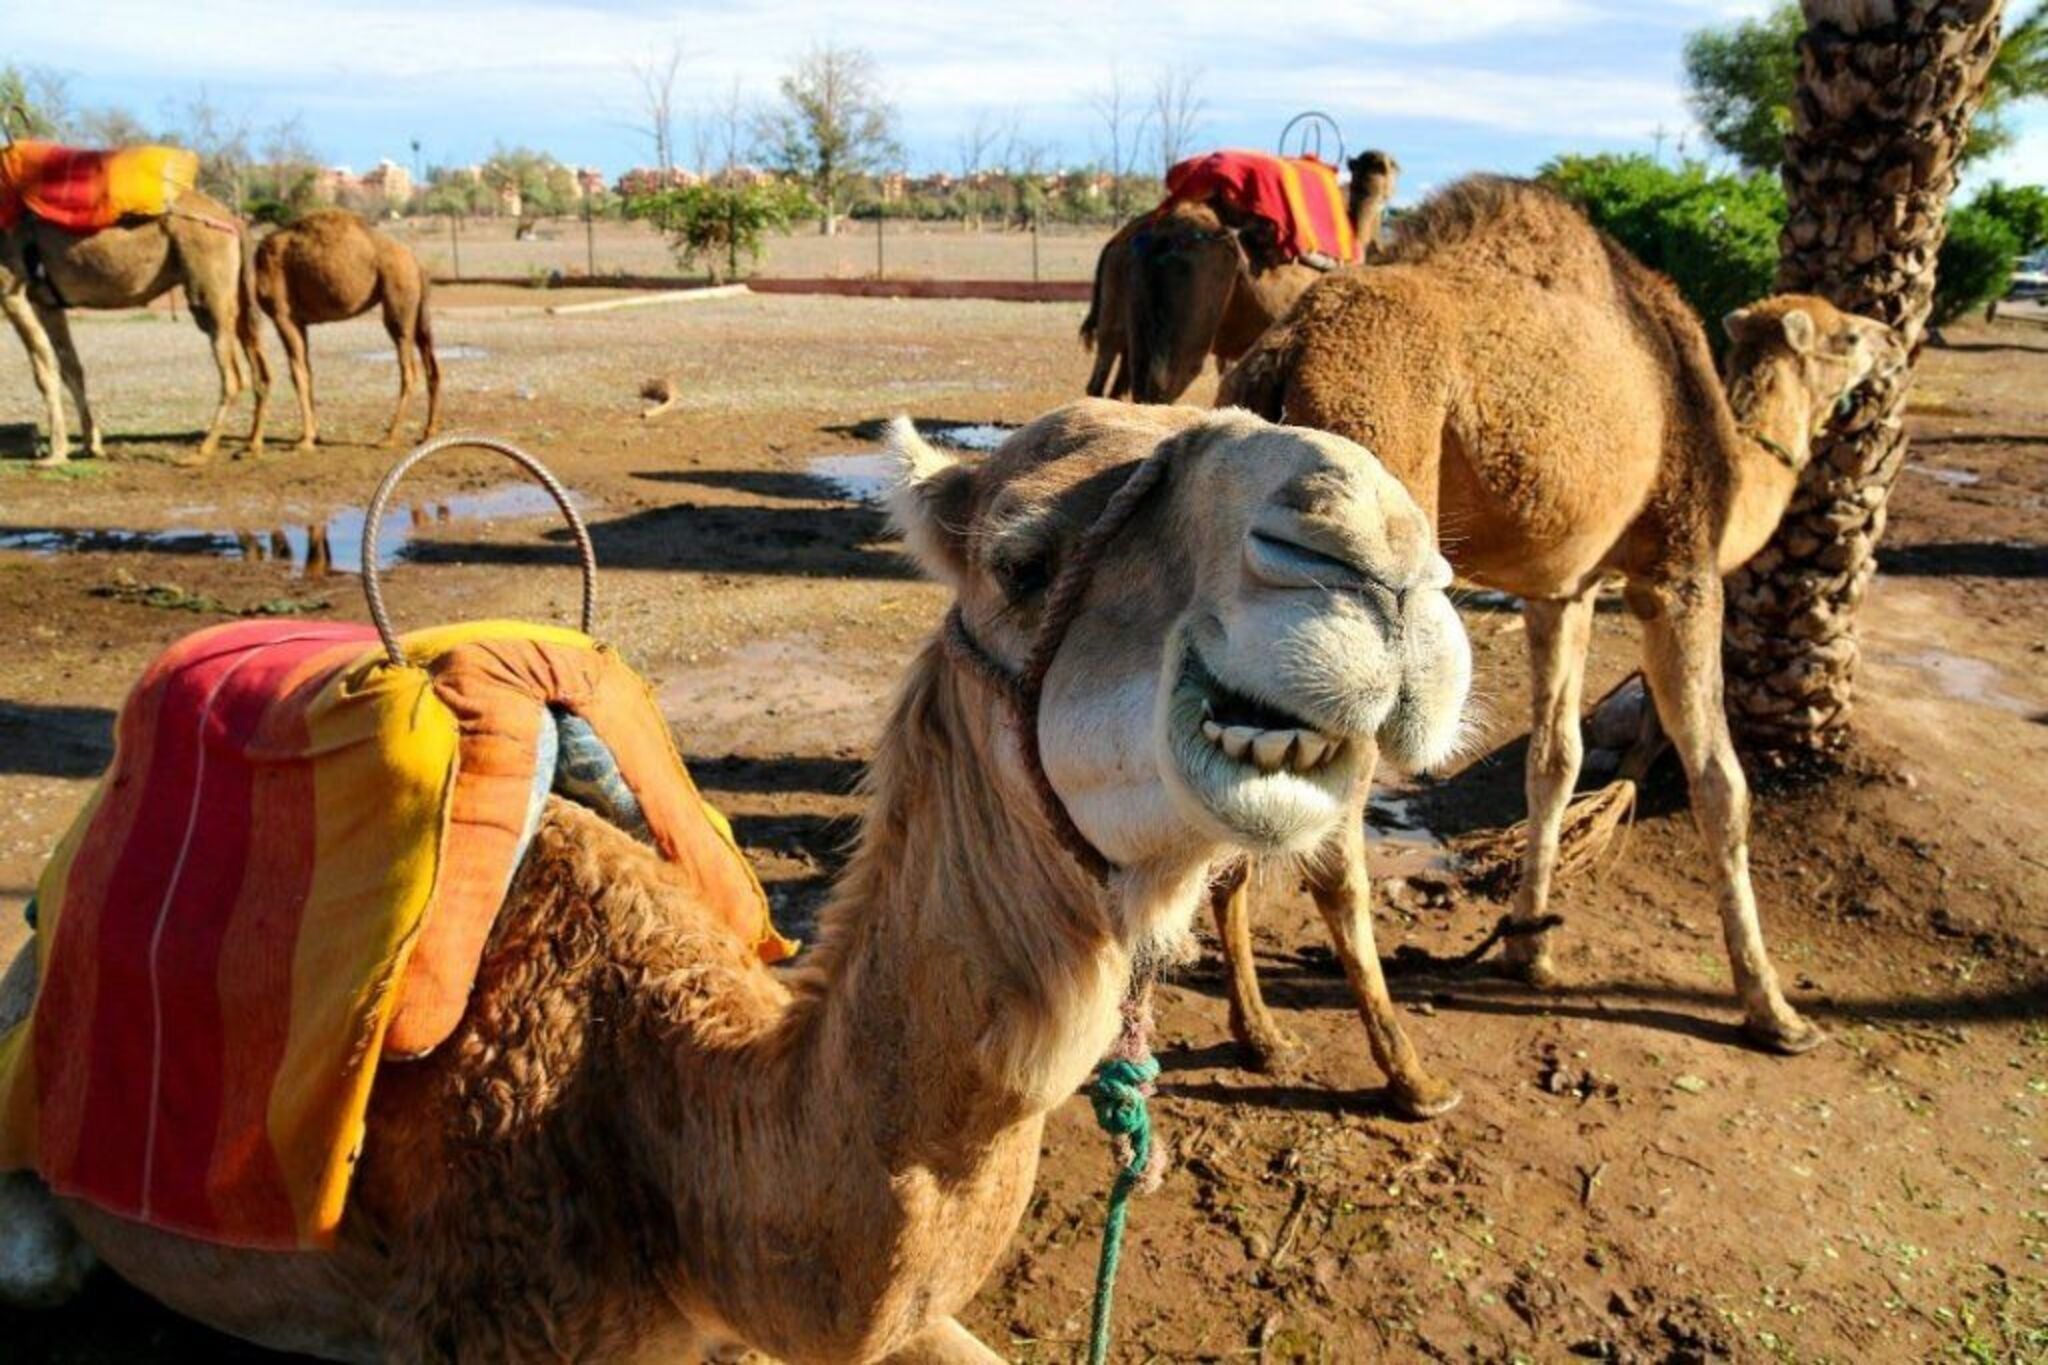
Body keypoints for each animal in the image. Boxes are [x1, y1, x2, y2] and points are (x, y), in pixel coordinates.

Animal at [0, 190, 269, 463]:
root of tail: (232, 219)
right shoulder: (46, 302)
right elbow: (71, 368)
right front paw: (90, 445)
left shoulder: (11, 291)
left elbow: (43, 373)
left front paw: (55, 454)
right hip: (236, 289)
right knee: (256, 359)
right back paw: (251, 446)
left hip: (208, 282)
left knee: (232, 375)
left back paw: (202, 451)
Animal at [252, 209, 441, 450]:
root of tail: (416, 263)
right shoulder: (300, 321)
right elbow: (308, 371)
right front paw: (314, 436)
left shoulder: (283, 316)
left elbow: (298, 374)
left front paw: (305, 440)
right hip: (418, 309)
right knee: (431, 364)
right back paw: (428, 433)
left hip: (399, 298)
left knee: (408, 369)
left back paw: (389, 438)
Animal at [1217, 176, 1904, 1075]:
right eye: (1848, 333)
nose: (1893, 339)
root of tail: (1283, 352)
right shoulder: (1677, 573)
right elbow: (1721, 780)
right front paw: (1774, 1009)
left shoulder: (1565, 590)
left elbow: (1556, 757)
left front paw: (1529, 949)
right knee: (1332, 822)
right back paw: (1406, 1068)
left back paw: (1260, 1030)